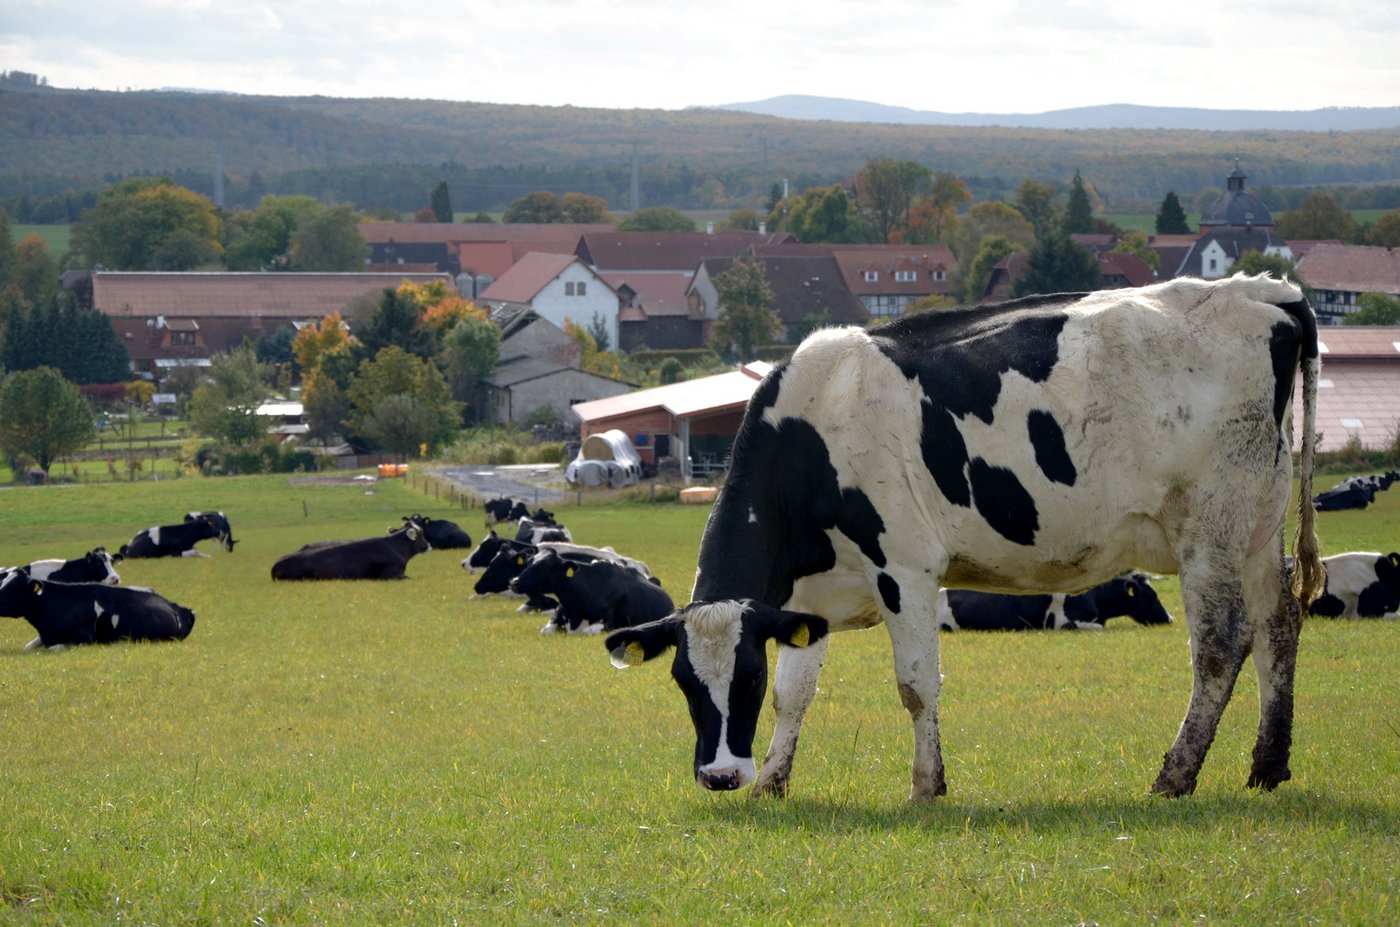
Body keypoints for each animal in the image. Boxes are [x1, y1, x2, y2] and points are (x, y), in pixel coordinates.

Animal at [511, 548, 673, 634]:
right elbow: (545, 631)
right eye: (528, 562)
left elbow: (585, 631)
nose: (514, 582)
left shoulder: (608, 624)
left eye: (543, 567)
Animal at [603, 274, 1323, 802]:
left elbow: (916, 684)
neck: (812, 433)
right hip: (1258, 528)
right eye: (683, 680)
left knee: (1222, 644)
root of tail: (1264, 290)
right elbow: (797, 694)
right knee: (1279, 624)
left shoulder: (906, 570)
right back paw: (1268, 765)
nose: (721, 775)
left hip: (1210, 529)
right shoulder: (807, 599)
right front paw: (774, 783)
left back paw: (1175, 775)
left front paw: (927, 786)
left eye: (745, 676)